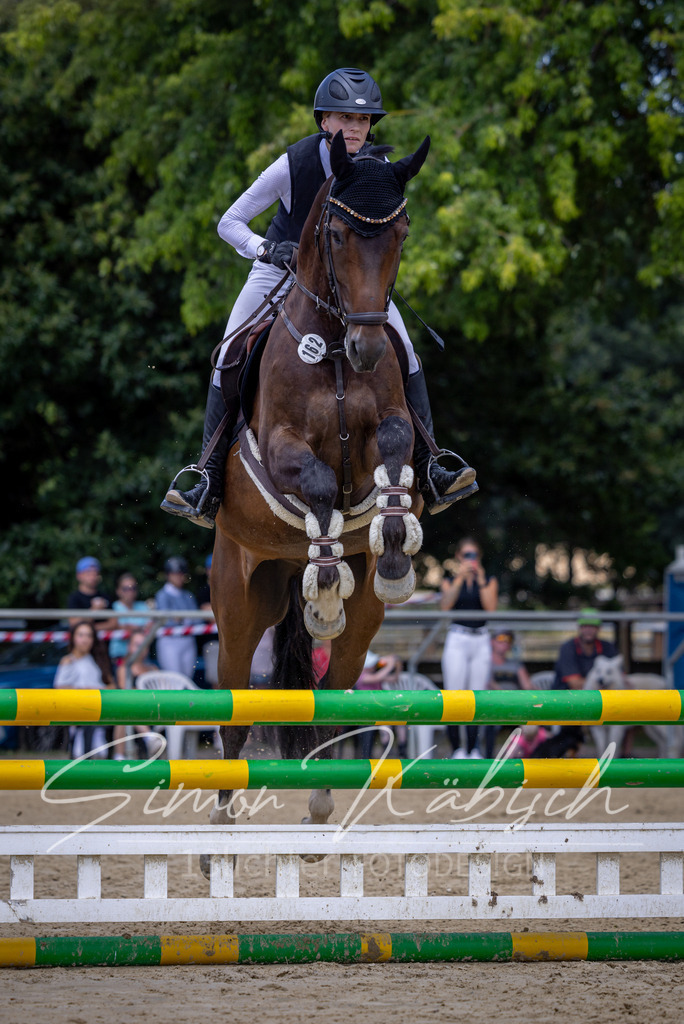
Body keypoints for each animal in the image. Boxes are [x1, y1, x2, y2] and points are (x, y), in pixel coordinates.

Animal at [201, 132, 432, 871]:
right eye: (334, 234)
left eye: (400, 234)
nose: (366, 346)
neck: (328, 347)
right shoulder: (281, 450)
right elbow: (321, 485)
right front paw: (325, 575)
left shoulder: (389, 425)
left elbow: (393, 459)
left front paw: (396, 548)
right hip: (239, 601)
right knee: (235, 714)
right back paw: (216, 833)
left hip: (362, 629)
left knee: (333, 696)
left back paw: (321, 807)